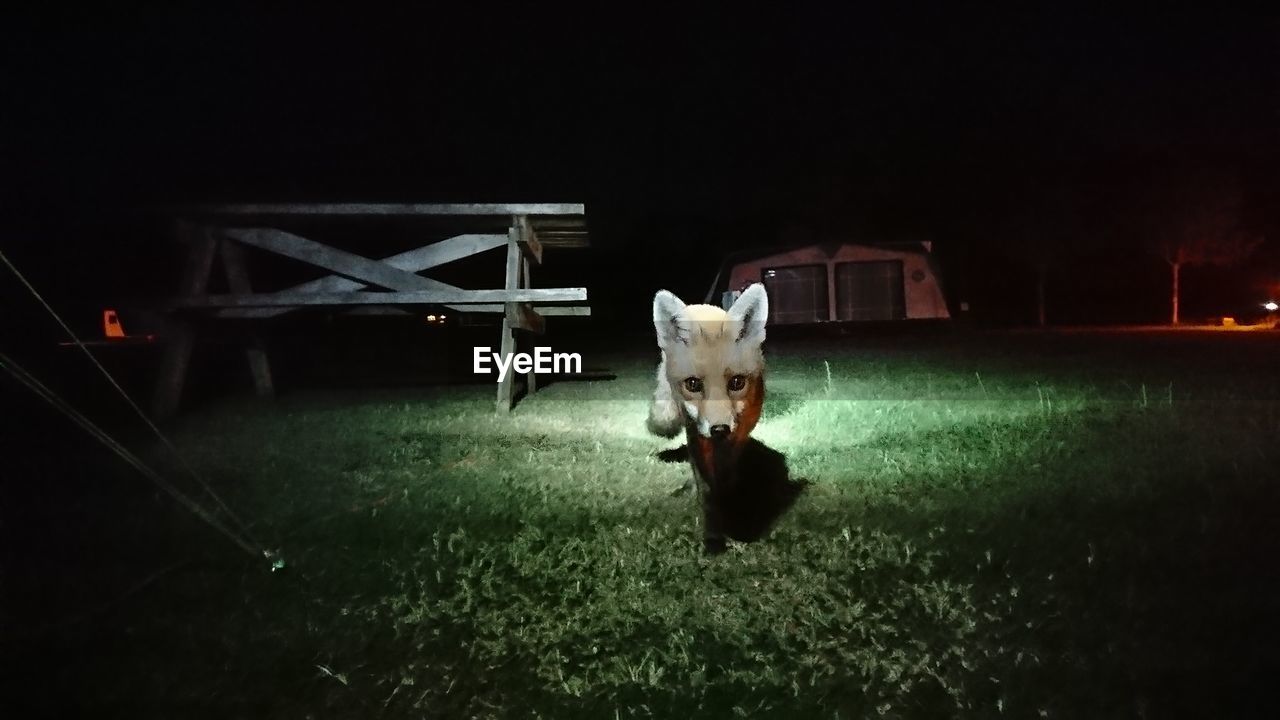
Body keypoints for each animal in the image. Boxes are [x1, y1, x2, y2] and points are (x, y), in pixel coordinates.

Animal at [650, 280, 768, 548]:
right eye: (693, 384)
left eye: (737, 382)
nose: (719, 429)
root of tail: (700, 306)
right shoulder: (695, 432)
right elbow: (704, 482)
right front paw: (713, 521)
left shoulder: (740, 432)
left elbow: (726, 471)